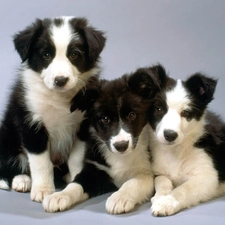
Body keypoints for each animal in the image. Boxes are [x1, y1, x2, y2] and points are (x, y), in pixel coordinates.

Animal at [0, 15, 106, 202]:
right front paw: (43, 190)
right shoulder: (31, 124)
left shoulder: (83, 125)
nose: (60, 80)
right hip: (8, 135)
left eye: (74, 55)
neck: (59, 97)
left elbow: (77, 157)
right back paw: (22, 180)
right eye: (46, 55)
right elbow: (40, 162)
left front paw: (76, 178)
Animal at [42, 64, 166, 214]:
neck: (121, 157)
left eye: (132, 115)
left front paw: (119, 198)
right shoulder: (94, 169)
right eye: (105, 119)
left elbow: (132, 183)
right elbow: (76, 184)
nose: (121, 146)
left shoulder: (147, 173)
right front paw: (59, 196)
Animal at [149, 72, 225, 216]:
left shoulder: (207, 177)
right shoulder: (159, 171)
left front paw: (166, 202)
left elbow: (183, 189)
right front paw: (160, 196)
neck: (176, 151)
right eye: (159, 109)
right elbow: (162, 180)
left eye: (185, 112)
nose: (170, 135)